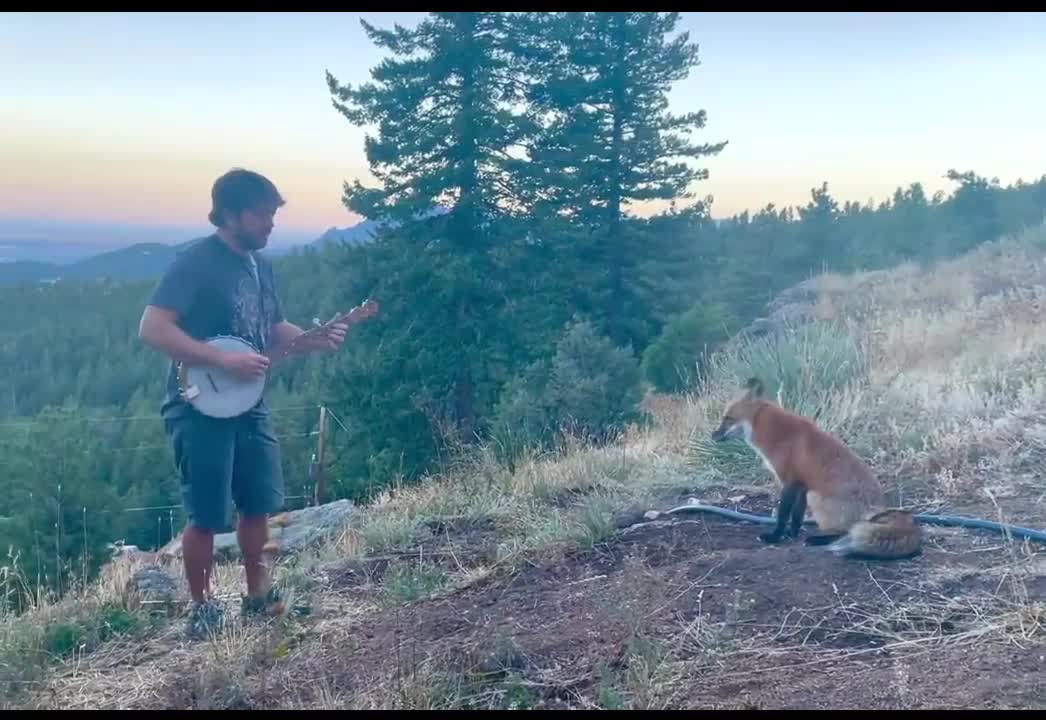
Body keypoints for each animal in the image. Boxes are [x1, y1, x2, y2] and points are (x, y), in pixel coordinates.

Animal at [711, 378, 924, 560]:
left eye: (728, 418)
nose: (712, 435)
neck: (776, 432)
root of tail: (877, 508)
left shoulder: (790, 481)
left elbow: (783, 514)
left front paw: (775, 536)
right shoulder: (802, 485)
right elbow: (796, 516)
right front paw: (792, 534)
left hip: (817, 497)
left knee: (846, 531)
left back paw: (818, 539)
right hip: (812, 495)